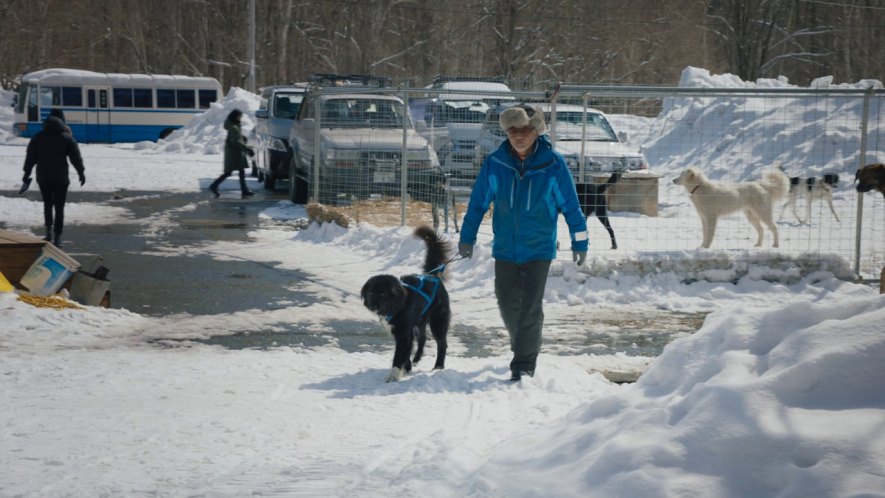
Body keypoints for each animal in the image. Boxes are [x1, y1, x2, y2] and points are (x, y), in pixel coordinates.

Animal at [360, 226, 448, 382]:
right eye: (370, 293)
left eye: (382, 294)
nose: (372, 306)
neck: (397, 306)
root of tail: (432, 275)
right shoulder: (404, 332)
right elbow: (406, 352)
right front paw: (406, 369)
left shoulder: (404, 333)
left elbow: (399, 355)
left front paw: (393, 376)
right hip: (420, 321)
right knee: (422, 339)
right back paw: (417, 359)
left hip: (437, 321)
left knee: (442, 344)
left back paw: (438, 367)